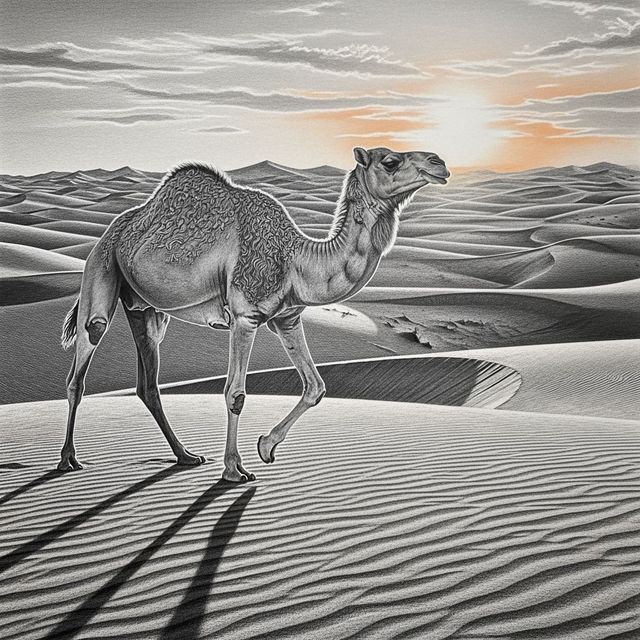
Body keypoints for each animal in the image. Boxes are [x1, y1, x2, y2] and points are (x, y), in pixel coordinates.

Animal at [58, 146, 449, 482]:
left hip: (145, 308)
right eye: (390, 162)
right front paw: (235, 469)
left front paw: (266, 447)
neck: (296, 259)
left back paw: (186, 456)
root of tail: (112, 230)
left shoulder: (287, 318)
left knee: (148, 384)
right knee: (84, 357)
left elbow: (316, 386)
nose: (440, 162)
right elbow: (236, 394)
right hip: (101, 267)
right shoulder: (245, 316)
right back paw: (68, 459)